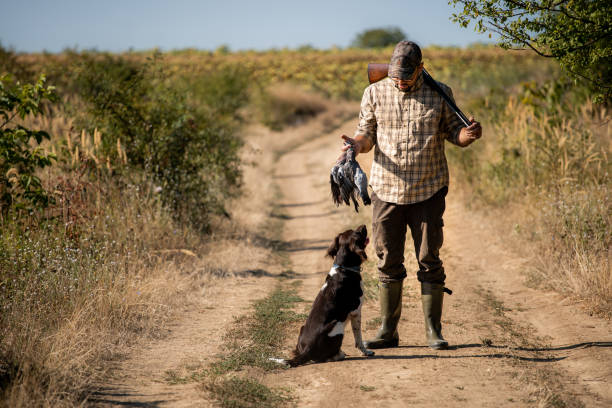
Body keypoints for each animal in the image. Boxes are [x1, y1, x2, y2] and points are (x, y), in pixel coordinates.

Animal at [282, 225, 372, 368]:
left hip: (303, 328)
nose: (364, 225)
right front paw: (366, 352)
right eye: (357, 233)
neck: (344, 268)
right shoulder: (356, 311)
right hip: (337, 326)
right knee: (326, 357)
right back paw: (340, 354)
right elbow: (358, 337)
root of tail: (307, 350)